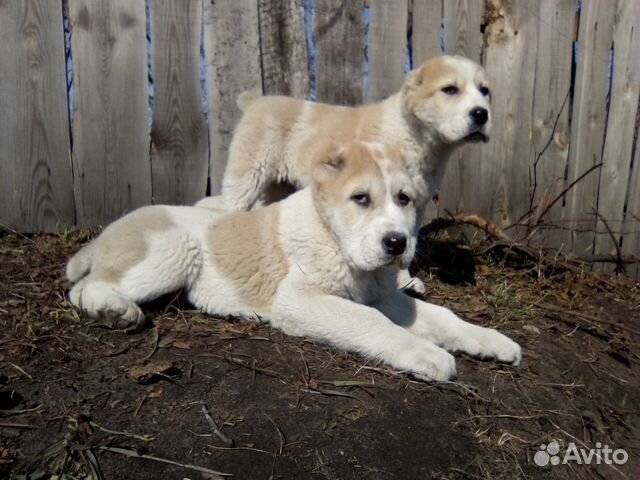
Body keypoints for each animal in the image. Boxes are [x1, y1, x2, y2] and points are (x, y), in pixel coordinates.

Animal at [66, 141, 520, 380]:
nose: (397, 243)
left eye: (404, 199)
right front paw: (426, 354)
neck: (336, 241)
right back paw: (116, 312)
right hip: (173, 249)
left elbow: (441, 316)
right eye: (361, 199)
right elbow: (371, 323)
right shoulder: (301, 300)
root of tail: (108, 231)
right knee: (83, 287)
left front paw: (492, 341)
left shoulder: (383, 296)